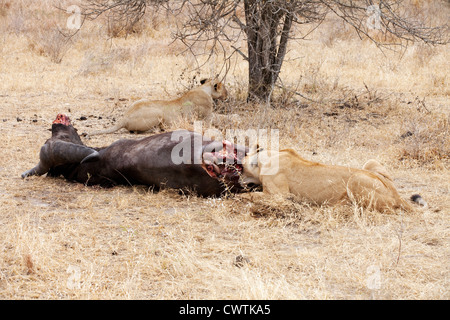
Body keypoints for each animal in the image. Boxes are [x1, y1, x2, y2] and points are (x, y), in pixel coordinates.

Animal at [89, 80, 227, 136]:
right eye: (224, 88)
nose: (227, 95)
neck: (205, 89)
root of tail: (124, 118)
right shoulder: (207, 116)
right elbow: (220, 118)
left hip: (141, 100)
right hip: (158, 112)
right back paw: (159, 129)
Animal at [241, 147, 428, 212]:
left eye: (241, 167)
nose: (239, 179)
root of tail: (397, 194)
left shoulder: (281, 196)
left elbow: (247, 196)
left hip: (355, 179)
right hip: (370, 163)